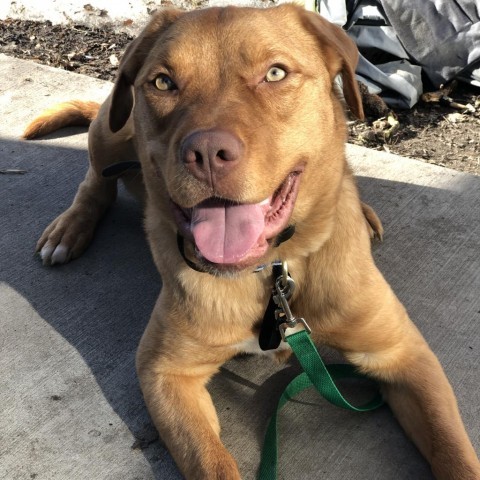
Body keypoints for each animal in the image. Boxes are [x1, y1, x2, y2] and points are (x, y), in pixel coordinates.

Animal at [24, 4, 478, 480]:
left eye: (275, 73)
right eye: (163, 82)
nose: (206, 154)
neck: (274, 271)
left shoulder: (404, 356)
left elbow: (454, 451)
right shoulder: (165, 372)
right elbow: (211, 463)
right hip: (110, 131)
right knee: (96, 180)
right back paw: (69, 227)